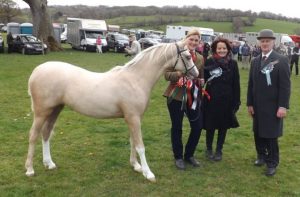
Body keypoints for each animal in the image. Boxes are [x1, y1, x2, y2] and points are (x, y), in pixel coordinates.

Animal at [25, 41, 199, 182]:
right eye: (188, 56)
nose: (196, 74)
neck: (136, 79)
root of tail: (36, 71)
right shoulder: (133, 118)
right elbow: (140, 145)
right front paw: (148, 173)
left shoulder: (134, 118)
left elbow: (132, 141)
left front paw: (136, 166)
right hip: (41, 112)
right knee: (33, 135)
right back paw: (30, 169)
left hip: (55, 110)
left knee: (46, 134)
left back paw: (49, 163)